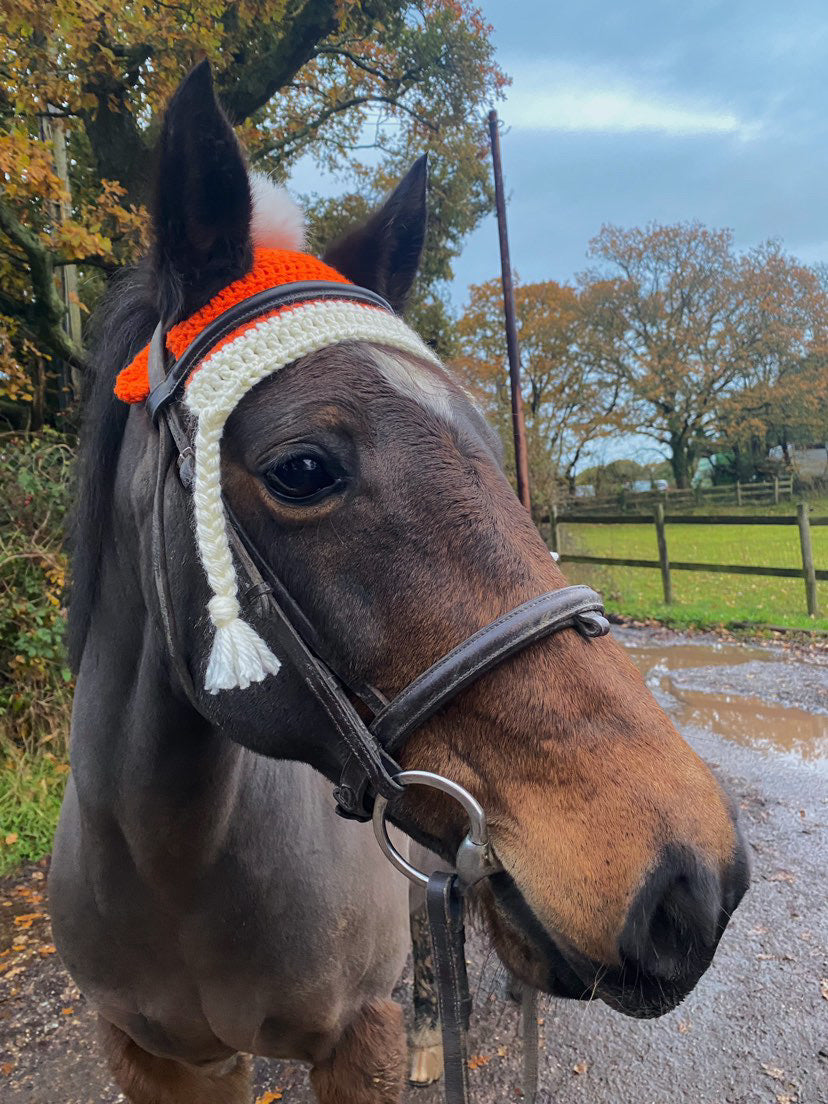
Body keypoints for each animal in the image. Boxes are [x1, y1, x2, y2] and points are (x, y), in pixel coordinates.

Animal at [50, 62, 750, 1104]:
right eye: (303, 469)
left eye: (488, 443)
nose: (693, 881)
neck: (168, 862)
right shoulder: (159, 1060)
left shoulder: (353, 1043)